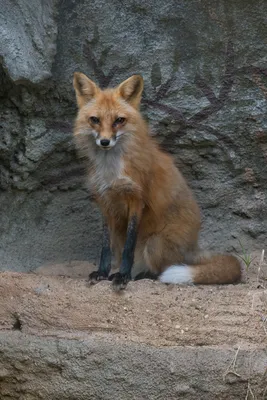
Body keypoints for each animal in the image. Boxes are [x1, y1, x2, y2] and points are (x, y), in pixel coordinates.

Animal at [73, 72, 243, 290]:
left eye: (119, 120)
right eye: (95, 119)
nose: (104, 142)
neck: (111, 169)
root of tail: (193, 247)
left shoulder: (137, 199)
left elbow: (129, 246)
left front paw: (123, 276)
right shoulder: (105, 203)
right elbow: (105, 247)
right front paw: (102, 273)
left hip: (154, 244)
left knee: (163, 270)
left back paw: (141, 275)